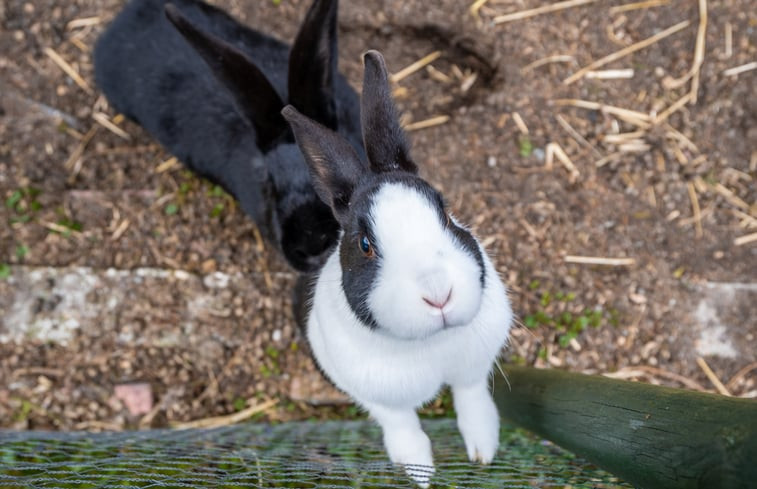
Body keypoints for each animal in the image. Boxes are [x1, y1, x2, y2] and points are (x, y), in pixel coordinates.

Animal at [284, 51, 512, 482]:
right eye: (365, 245)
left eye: (446, 214)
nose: (439, 295)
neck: (432, 344)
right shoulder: (374, 393)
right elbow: (401, 422)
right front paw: (420, 472)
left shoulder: (473, 367)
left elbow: (471, 397)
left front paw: (484, 448)